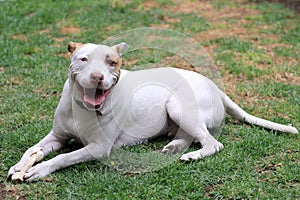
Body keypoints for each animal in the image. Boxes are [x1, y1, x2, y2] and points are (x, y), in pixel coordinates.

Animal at [7, 41, 298, 181]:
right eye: (83, 59)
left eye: (111, 62)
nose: (98, 77)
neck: (82, 107)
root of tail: (214, 85)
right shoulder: (56, 136)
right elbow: (33, 149)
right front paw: (20, 165)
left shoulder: (99, 148)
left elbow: (63, 158)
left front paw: (37, 171)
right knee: (190, 136)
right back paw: (174, 148)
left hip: (178, 106)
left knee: (213, 143)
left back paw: (191, 155)